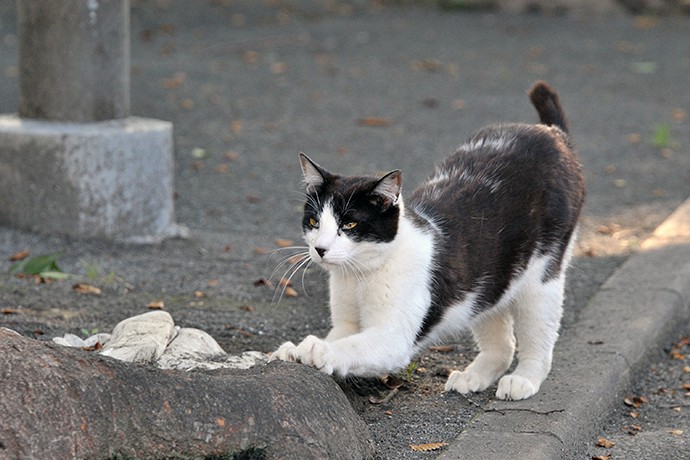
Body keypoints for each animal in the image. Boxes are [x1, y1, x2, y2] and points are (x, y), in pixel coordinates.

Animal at [272, 82, 584, 398]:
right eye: (314, 222)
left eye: (349, 224)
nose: (320, 248)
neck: (362, 275)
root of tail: (550, 132)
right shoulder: (347, 321)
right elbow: (342, 335)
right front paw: (293, 350)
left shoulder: (393, 336)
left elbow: (352, 346)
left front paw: (318, 350)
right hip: (491, 276)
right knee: (501, 336)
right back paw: (474, 376)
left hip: (542, 274)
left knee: (539, 332)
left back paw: (524, 379)